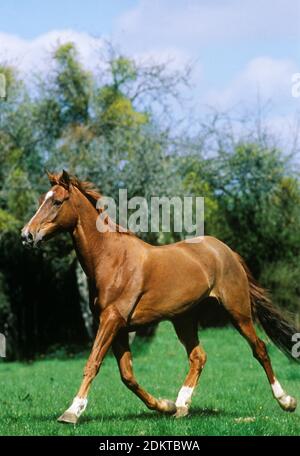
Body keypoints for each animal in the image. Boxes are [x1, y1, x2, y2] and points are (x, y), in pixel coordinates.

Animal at [20, 171, 298, 424]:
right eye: (41, 200)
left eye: (57, 202)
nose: (26, 235)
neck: (112, 259)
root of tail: (226, 251)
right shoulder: (119, 327)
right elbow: (127, 376)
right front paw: (164, 406)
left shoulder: (111, 320)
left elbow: (93, 363)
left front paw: (72, 411)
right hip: (184, 319)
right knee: (198, 357)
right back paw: (181, 406)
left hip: (238, 312)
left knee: (259, 349)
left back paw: (286, 401)